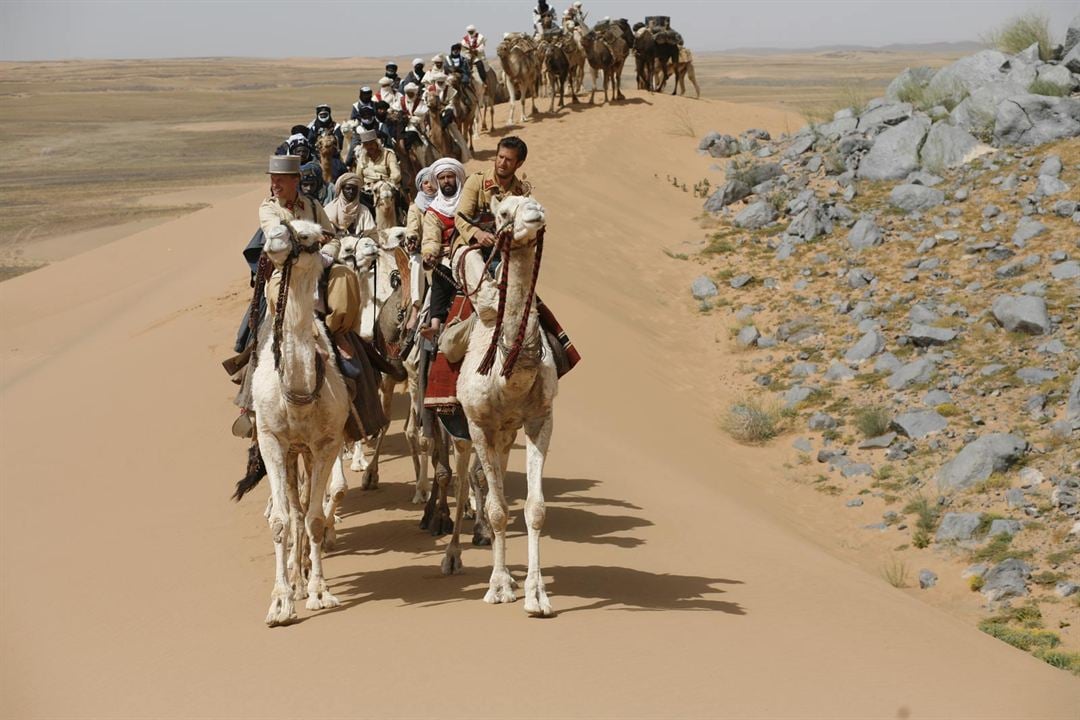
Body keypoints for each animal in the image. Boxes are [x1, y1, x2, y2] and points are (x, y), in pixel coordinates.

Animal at [237, 218, 349, 626]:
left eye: (309, 235)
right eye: (270, 224)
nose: (273, 240)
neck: (299, 394)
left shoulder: (327, 443)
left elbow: (315, 517)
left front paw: (319, 592)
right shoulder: (272, 440)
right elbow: (281, 521)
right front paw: (280, 603)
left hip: (307, 451)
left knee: (305, 508)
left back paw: (304, 577)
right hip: (287, 453)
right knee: (292, 510)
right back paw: (294, 578)